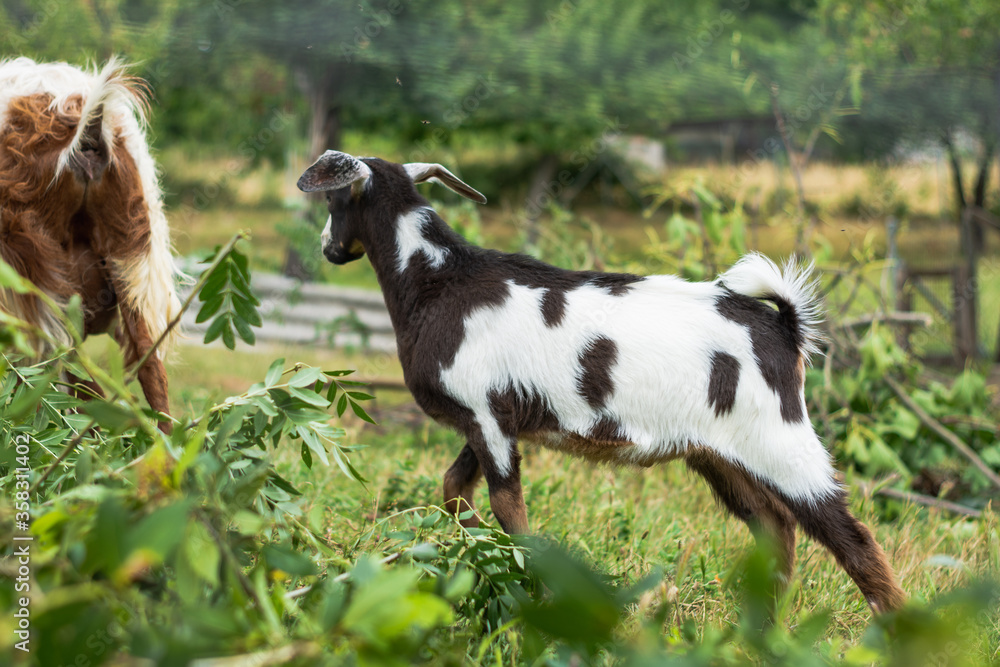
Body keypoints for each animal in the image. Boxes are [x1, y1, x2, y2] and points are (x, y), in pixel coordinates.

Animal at [297, 150, 907, 613]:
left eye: (332, 200)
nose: (327, 247)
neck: (440, 281)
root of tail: (783, 324)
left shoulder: (488, 419)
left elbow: (508, 510)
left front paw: (527, 587)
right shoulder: (487, 419)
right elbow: (454, 489)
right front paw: (471, 555)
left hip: (784, 441)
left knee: (851, 539)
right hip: (720, 453)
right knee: (776, 527)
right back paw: (760, 625)